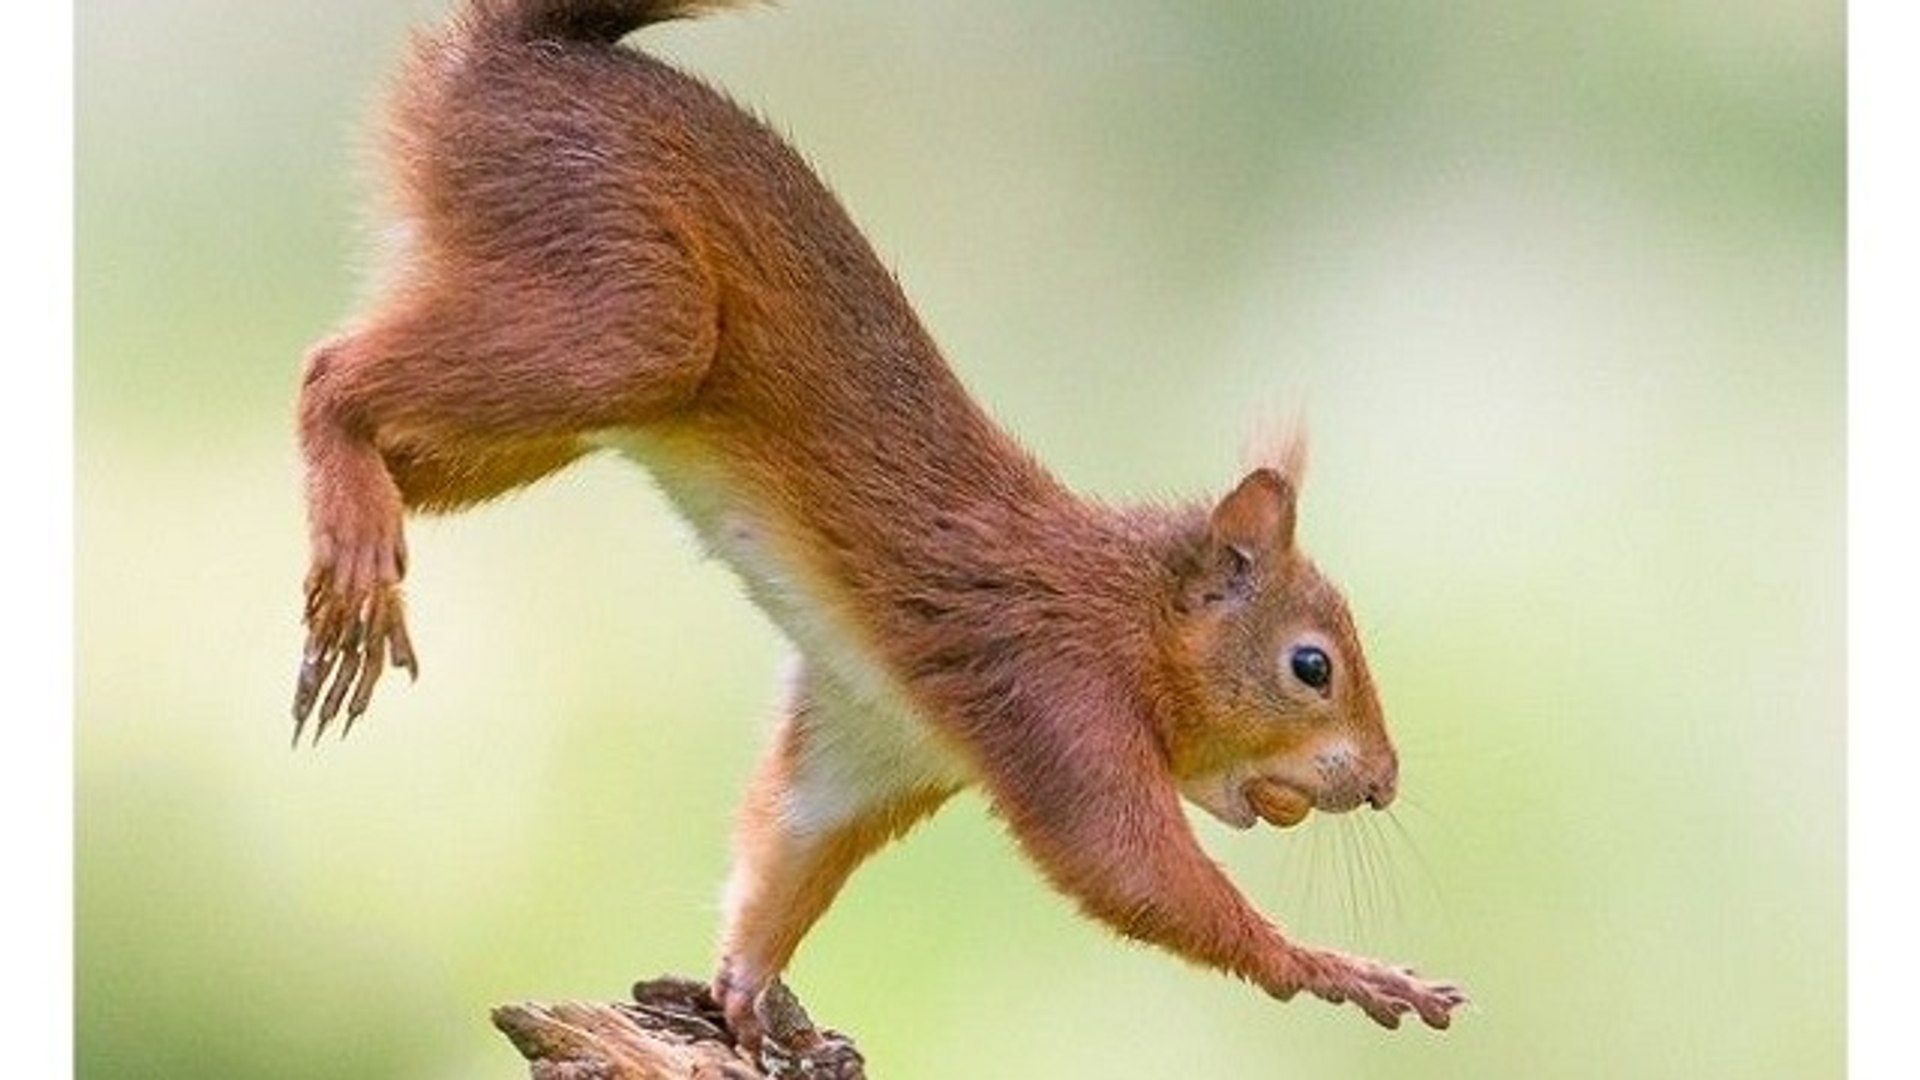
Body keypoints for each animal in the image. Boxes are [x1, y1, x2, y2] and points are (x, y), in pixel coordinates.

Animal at [293, 0, 1466, 1041]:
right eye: (1311, 666)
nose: (1385, 783)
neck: (1119, 615)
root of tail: (514, 55)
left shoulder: (880, 730)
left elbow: (790, 845)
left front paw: (744, 996)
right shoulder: (1051, 692)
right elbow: (1127, 872)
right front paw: (1331, 968)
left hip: (554, 402)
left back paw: (349, 561)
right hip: (622, 310)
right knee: (327, 375)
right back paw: (348, 515)